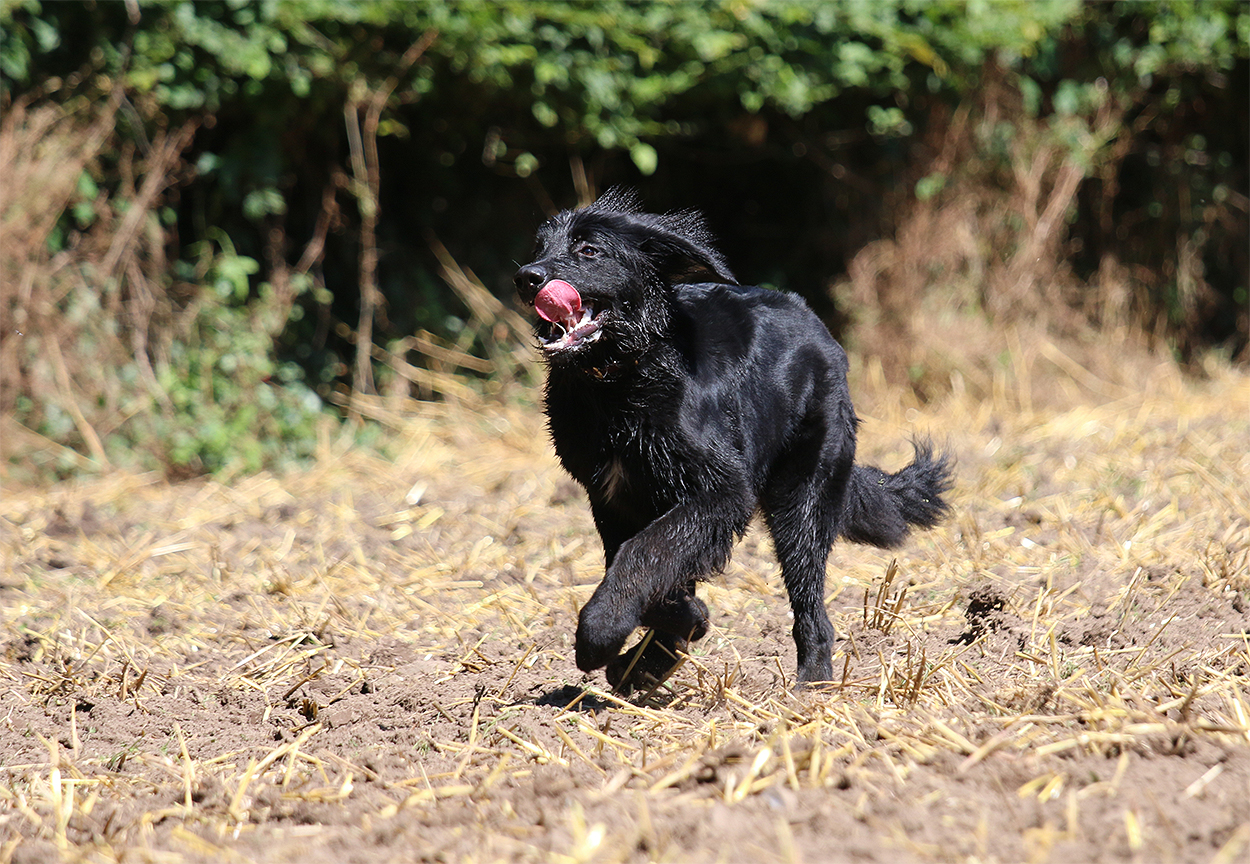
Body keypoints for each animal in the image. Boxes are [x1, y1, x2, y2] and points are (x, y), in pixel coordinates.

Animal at [515, 189, 951, 690]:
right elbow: (648, 569)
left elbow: (642, 554)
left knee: (813, 610)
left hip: (802, 499)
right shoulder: (613, 499)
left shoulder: (722, 492)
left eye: (589, 250)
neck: (621, 382)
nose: (527, 278)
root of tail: (813, 322)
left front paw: (600, 632)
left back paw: (811, 686)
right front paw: (673, 631)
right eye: (539, 248)